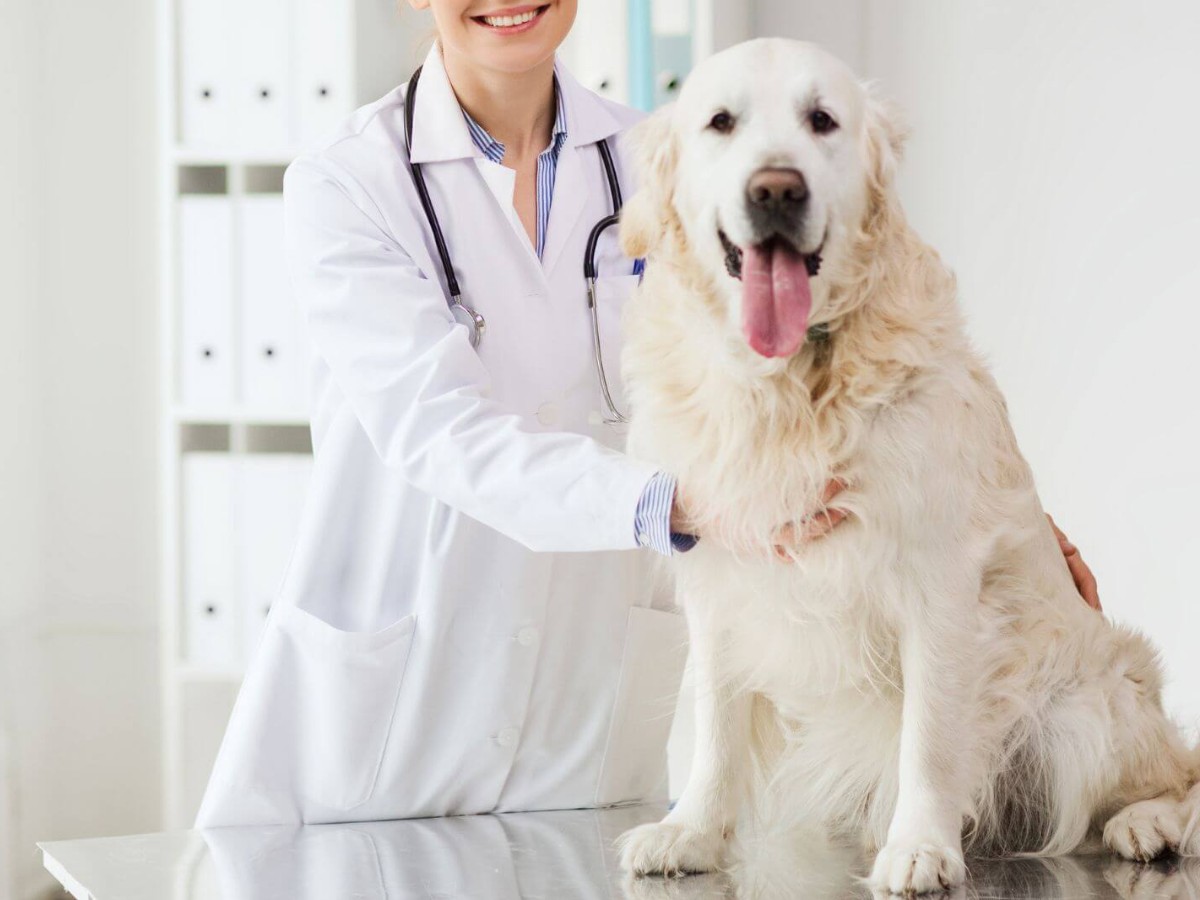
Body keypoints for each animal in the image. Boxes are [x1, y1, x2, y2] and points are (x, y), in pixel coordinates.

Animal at [619, 38, 1200, 897]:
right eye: (720, 122)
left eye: (822, 120)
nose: (777, 189)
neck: (791, 382)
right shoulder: (725, 576)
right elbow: (716, 725)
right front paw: (691, 830)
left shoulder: (939, 578)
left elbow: (929, 734)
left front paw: (921, 844)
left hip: (1089, 709)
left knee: (1176, 775)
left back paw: (1149, 823)